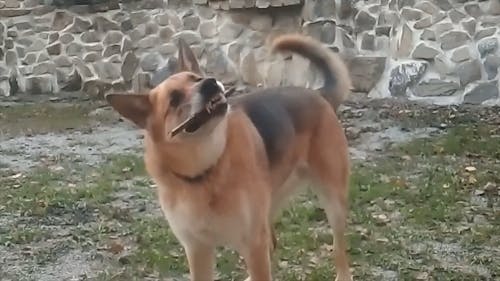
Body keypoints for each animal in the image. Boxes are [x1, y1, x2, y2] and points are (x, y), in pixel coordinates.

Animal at [105, 34, 352, 278]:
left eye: (196, 79)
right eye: (174, 99)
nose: (209, 83)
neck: (205, 169)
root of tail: (318, 94)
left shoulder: (253, 242)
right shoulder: (197, 250)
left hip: (333, 202)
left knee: (339, 249)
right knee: (273, 243)